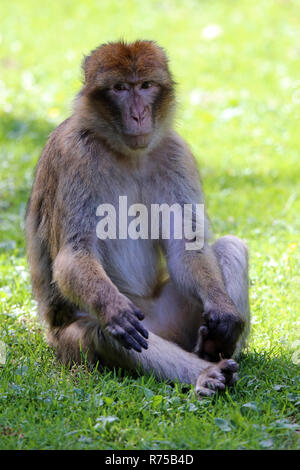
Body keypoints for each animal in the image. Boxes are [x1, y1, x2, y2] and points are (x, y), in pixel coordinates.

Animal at [25, 40, 250, 396]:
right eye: (120, 88)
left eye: (145, 86)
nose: (138, 114)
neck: (125, 153)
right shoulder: (75, 156)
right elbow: (75, 254)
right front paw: (111, 307)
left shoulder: (175, 152)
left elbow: (186, 246)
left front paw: (226, 315)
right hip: (73, 342)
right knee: (102, 332)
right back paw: (206, 374)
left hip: (178, 321)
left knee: (229, 247)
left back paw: (213, 351)